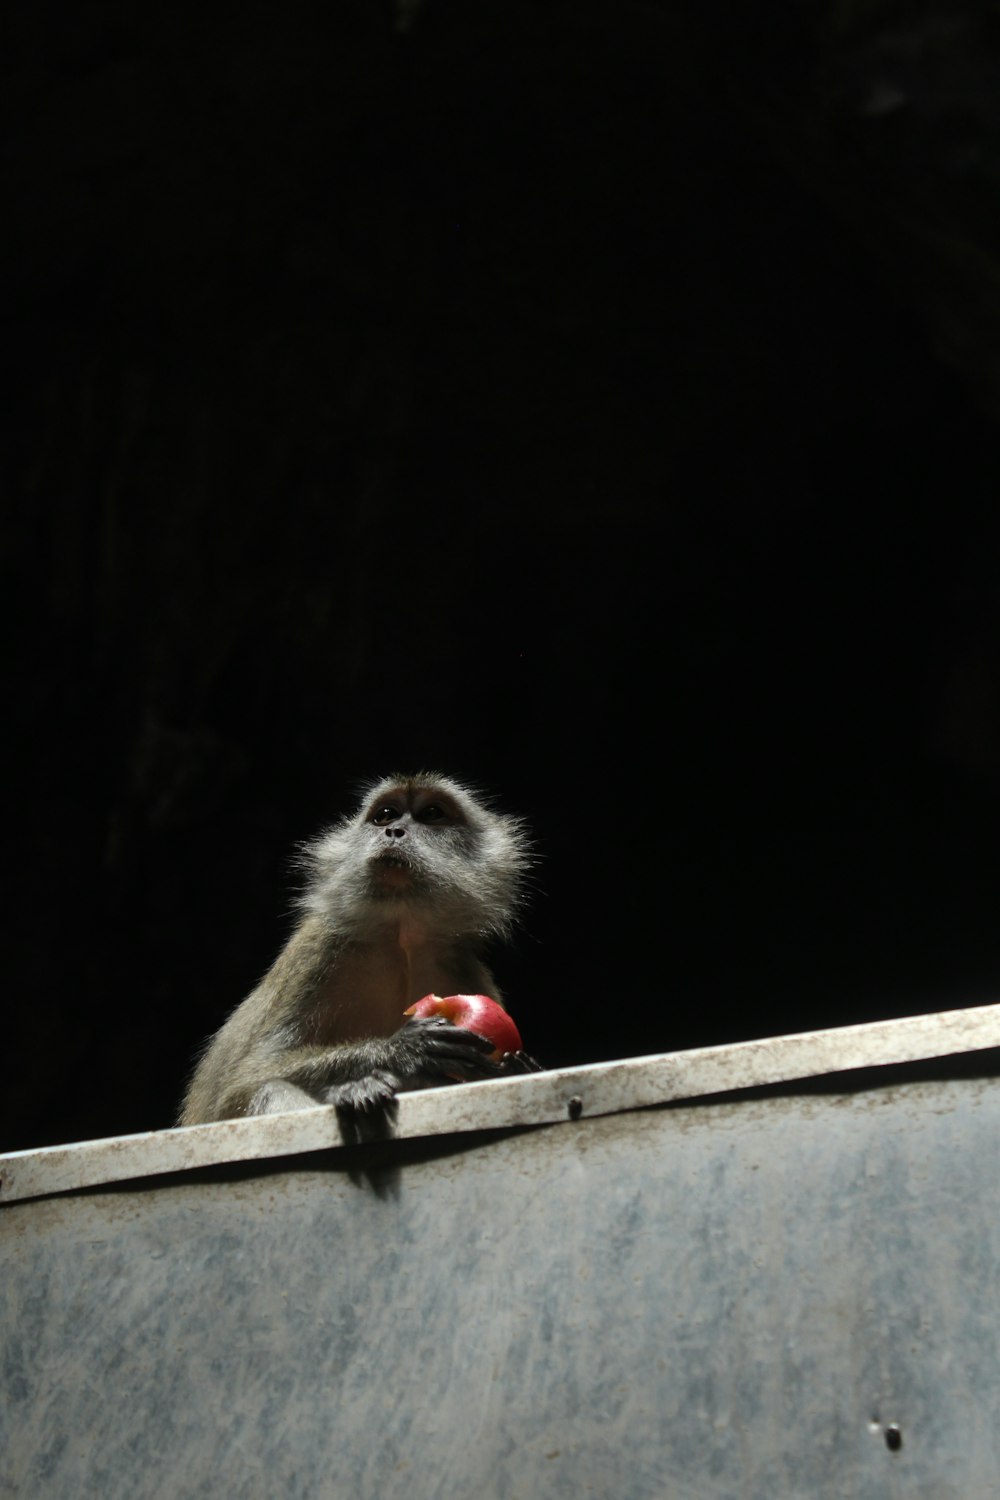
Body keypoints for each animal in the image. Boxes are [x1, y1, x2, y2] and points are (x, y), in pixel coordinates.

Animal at [176, 774, 536, 1128]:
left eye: (432, 814)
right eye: (385, 816)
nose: (393, 831)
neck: (402, 939)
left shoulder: (466, 971)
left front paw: (516, 1068)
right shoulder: (318, 947)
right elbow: (243, 1082)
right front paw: (403, 1050)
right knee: (270, 1089)